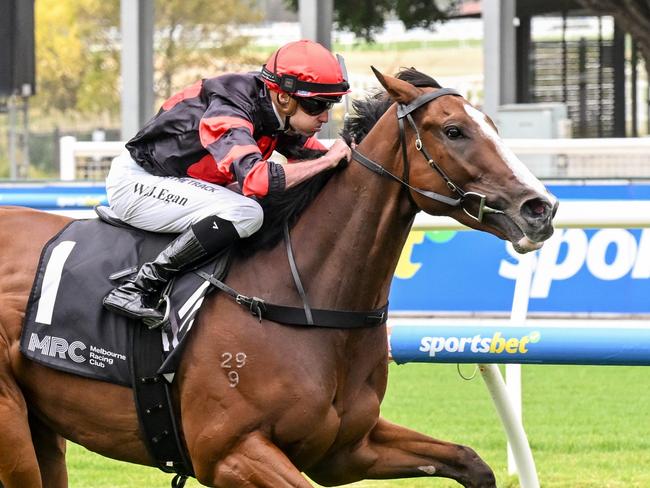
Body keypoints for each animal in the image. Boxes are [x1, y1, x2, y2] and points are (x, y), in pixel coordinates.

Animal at [0, 68, 556, 488]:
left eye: (492, 126)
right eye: (454, 130)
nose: (540, 209)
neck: (300, 298)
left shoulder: (347, 448)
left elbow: (472, 462)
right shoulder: (231, 453)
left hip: (44, 428)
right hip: (13, 429)